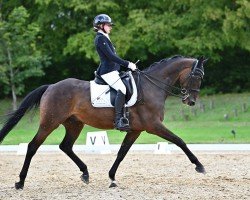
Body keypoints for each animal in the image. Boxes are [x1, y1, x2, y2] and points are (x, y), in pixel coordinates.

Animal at [0, 55, 207, 189]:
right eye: (197, 76)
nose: (191, 101)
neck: (151, 86)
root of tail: (51, 86)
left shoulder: (135, 130)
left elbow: (122, 153)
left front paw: (112, 178)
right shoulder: (153, 126)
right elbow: (179, 140)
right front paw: (199, 165)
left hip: (74, 124)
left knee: (65, 146)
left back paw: (85, 173)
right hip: (49, 123)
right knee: (32, 146)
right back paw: (20, 182)